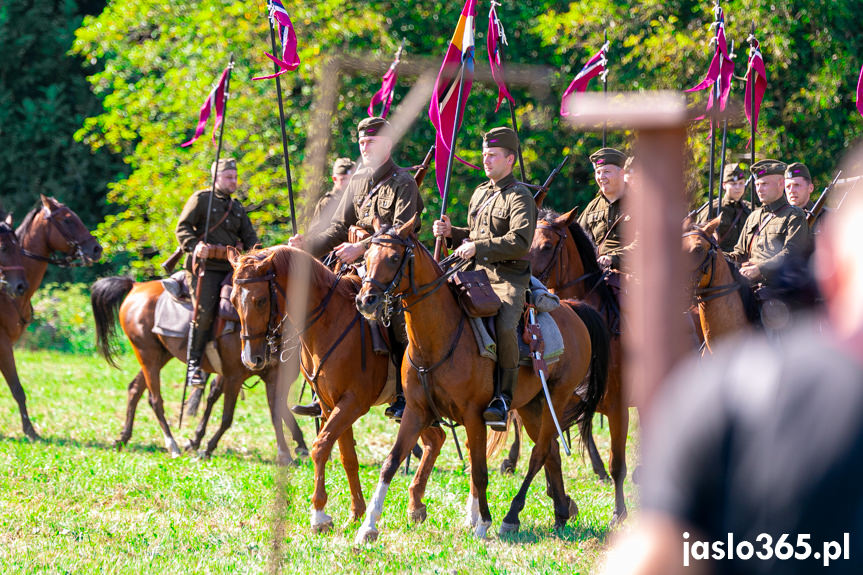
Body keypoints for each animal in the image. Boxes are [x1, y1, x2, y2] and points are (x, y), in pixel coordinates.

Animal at [90, 270, 308, 464]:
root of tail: (136, 286)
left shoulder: (272, 376)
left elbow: (276, 412)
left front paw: (287, 452)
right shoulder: (234, 376)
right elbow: (227, 417)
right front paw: (206, 447)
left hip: (160, 356)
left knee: (135, 389)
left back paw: (123, 438)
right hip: (147, 355)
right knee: (155, 400)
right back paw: (172, 445)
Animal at [230, 245, 446, 532]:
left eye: (260, 301)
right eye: (233, 300)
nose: (250, 359)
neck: (328, 321)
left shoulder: (352, 403)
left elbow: (320, 447)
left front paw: (319, 515)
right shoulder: (330, 404)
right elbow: (347, 456)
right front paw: (356, 512)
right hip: (419, 411)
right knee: (436, 439)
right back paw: (416, 505)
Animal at [352, 217, 608, 544]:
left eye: (395, 258)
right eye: (366, 257)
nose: (365, 300)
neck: (438, 337)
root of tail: (572, 308)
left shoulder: (475, 416)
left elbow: (479, 471)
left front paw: (482, 522)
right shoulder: (415, 411)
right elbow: (391, 462)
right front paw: (368, 526)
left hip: (557, 398)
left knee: (539, 453)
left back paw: (512, 516)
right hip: (531, 406)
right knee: (550, 452)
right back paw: (561, 512)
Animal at [524, 208, 632, 528]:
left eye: (547, 246)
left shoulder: (618, 405)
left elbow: (617, 463)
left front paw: (618, 513)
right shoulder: (556, 398)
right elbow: (550, 448)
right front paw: (562, 503)